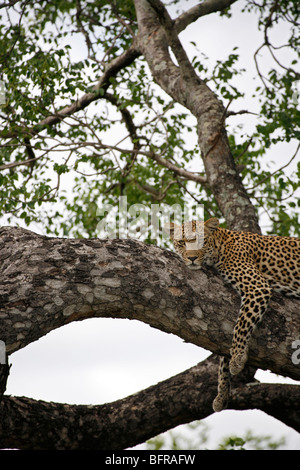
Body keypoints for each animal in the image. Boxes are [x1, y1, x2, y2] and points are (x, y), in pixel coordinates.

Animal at [166, 217, 300, 412]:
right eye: (182, 242)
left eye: (201, 242)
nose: (191, 258)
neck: (220, 247)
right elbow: (223, 353)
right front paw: (221, 394)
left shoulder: (257, 287)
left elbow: (241, 324)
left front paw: (237, 358)